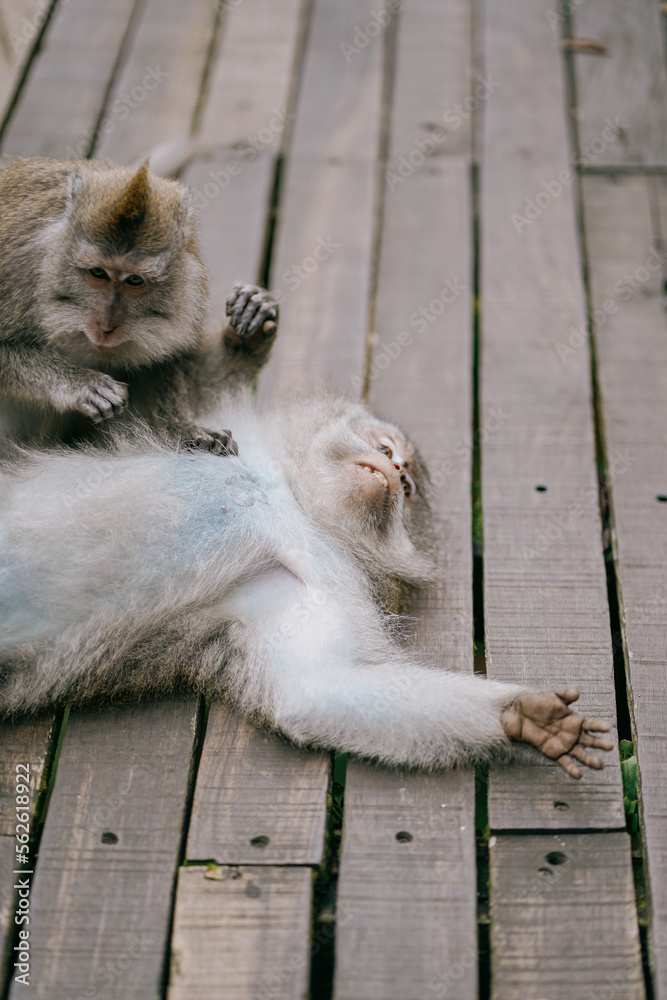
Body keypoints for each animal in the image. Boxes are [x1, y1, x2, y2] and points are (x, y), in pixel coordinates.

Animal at [0, 156, 279, 453]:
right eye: (98, 273)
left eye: (135, 280)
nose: (106, 326)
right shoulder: (16, 272)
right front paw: (81, 383)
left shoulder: (189, 286)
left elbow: (170, 360)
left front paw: (183, 426)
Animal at [0, 330, 613, 778]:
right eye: (385, 448)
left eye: (407, 486)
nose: (393, 468)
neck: (293, 502)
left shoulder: (321, 577)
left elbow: (316, 690)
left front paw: (523, 719)